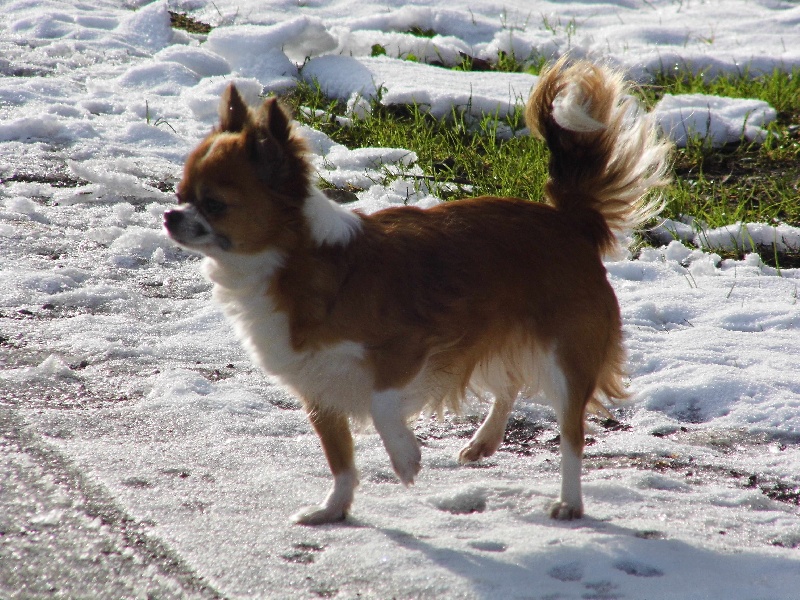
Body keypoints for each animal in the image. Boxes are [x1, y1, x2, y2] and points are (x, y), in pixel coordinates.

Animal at [166, 58, 672, 524]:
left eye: (213, 204)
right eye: (180, 194)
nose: (170, 216)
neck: (293, 263)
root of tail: (569, 220)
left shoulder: (408, 349)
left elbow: (381, 404)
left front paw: (406, 460)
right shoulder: (320, 391)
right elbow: (340, 460)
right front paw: (334, 508)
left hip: (566, 357)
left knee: (571, 436)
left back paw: (569, 500)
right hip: (498, 334)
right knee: (508, 381)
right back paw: (485, 440)